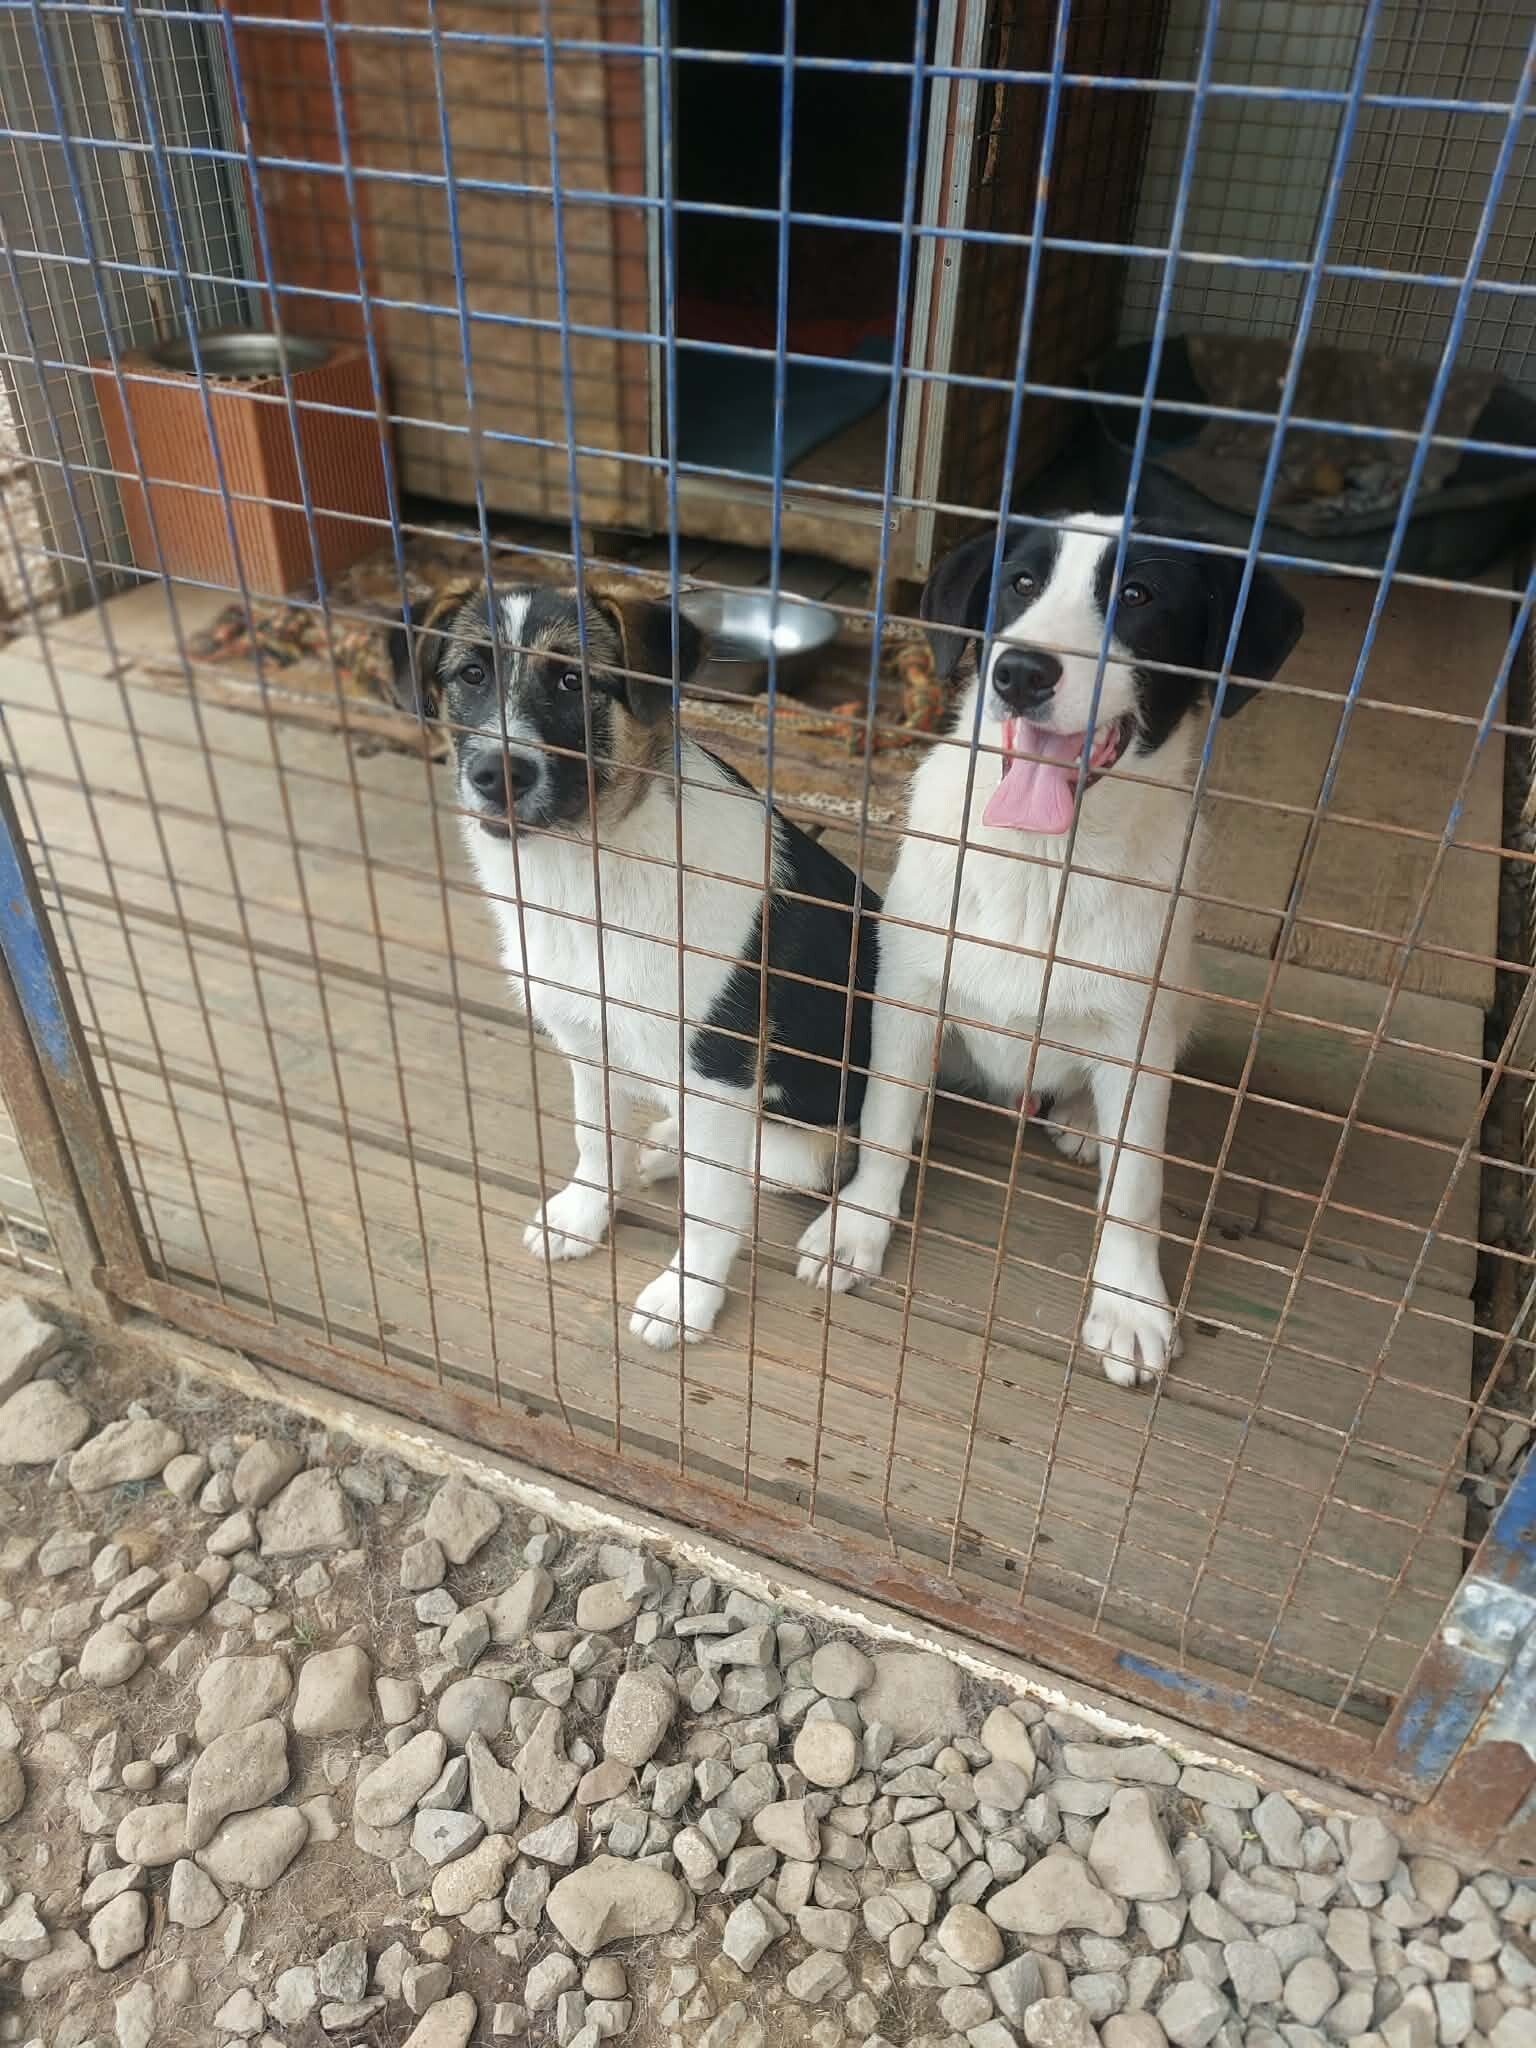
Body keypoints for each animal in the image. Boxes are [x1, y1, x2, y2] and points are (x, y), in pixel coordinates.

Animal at [390, 580, 880, 1350]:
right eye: (470, 674)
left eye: (573, 681)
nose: (498, 774)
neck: (588, 865)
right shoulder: (585, 1038)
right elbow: (594, 1137)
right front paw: (584, 1214)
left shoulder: (718, 1070)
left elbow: (710, 1207)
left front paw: (685, 1299)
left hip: (810, 1129)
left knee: (769, 1164)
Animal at [795, 512, 1304, 1384]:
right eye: (1021, 583)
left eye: (1138, 595)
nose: (1021, 673)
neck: (1041, 861)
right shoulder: (910, 987)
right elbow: (889, 1118)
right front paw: (858, 1226)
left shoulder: (1139, 1034)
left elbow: (1136, 1186)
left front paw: (1129, 1303)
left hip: (1181, 998)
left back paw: (1079, 1117)